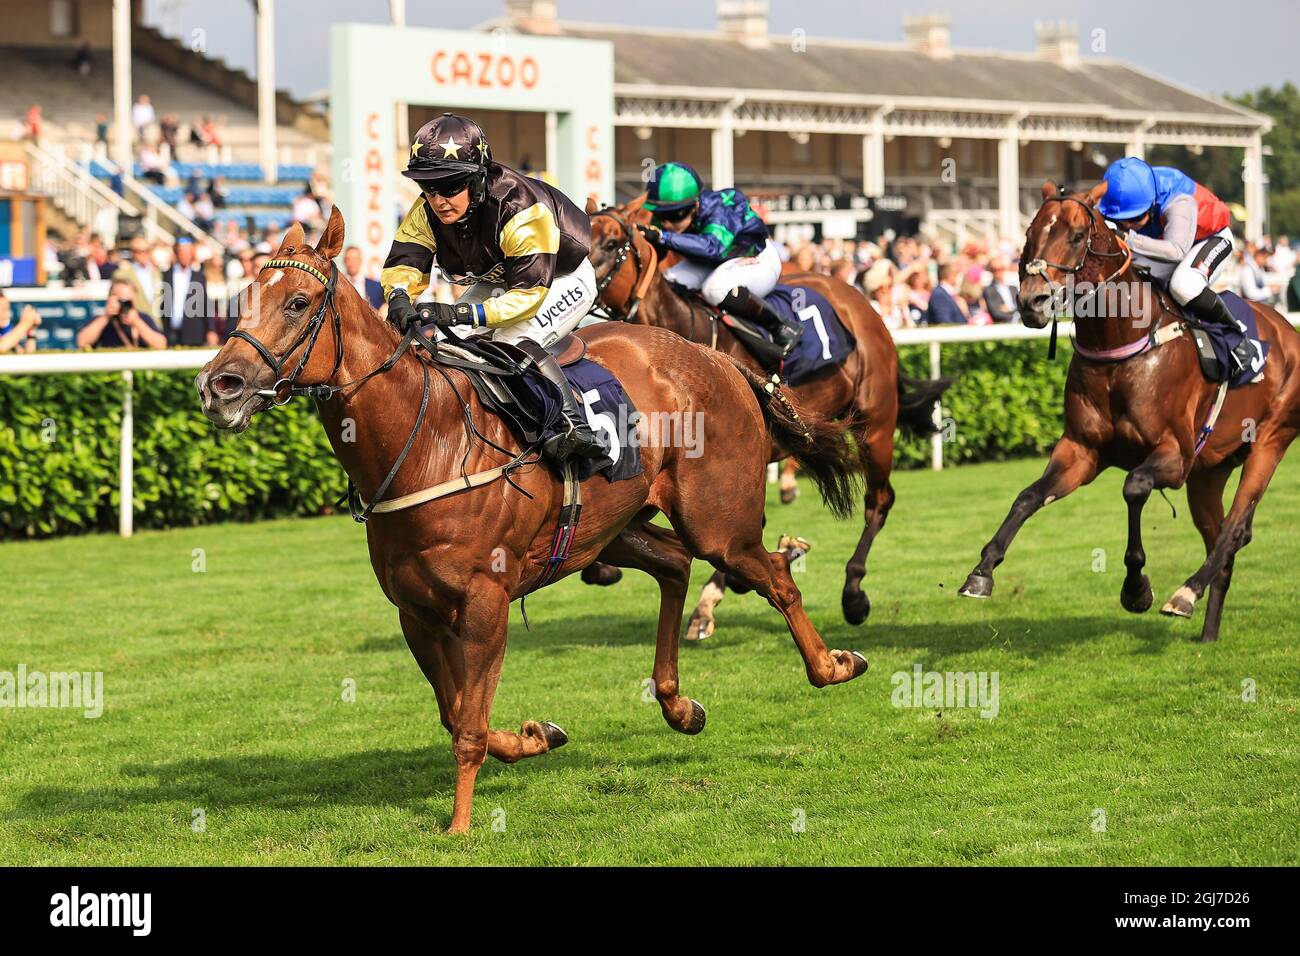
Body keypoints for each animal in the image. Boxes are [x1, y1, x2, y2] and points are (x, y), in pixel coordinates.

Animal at [194, 206, 870, 832]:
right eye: (244, 298)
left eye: (298, 302)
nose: (217, 386)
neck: (426, 442)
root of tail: (719, 359)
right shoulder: (417, 612)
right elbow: (457, 714)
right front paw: (537, 735)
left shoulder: (485, 600)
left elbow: (468, 724)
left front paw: (460, 826)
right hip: (609, 533)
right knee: (675, 566)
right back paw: (678, 704)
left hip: (718, 524)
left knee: (774, 574)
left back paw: (833, 663)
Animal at [585, 197, 951, 641]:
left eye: (611, 242)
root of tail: (859, 299)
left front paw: (709, 603)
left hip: (875, 423)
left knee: (878, 502)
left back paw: (853, 593)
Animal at [959, 179, 1300, 643]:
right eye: (1030, 233)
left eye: (1076, 236)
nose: (1033, 301)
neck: (1120, 348)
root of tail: (1287, 330)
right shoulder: (1082, 450)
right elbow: (1027, 497)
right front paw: (982, 570)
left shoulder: (1175, 456)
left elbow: (1134, 487)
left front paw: (1136, 587)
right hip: (1209, 472)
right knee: (1221, 539)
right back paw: (1208, 632)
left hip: (1270, 440)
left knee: (1234, 528)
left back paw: (1186, 593)